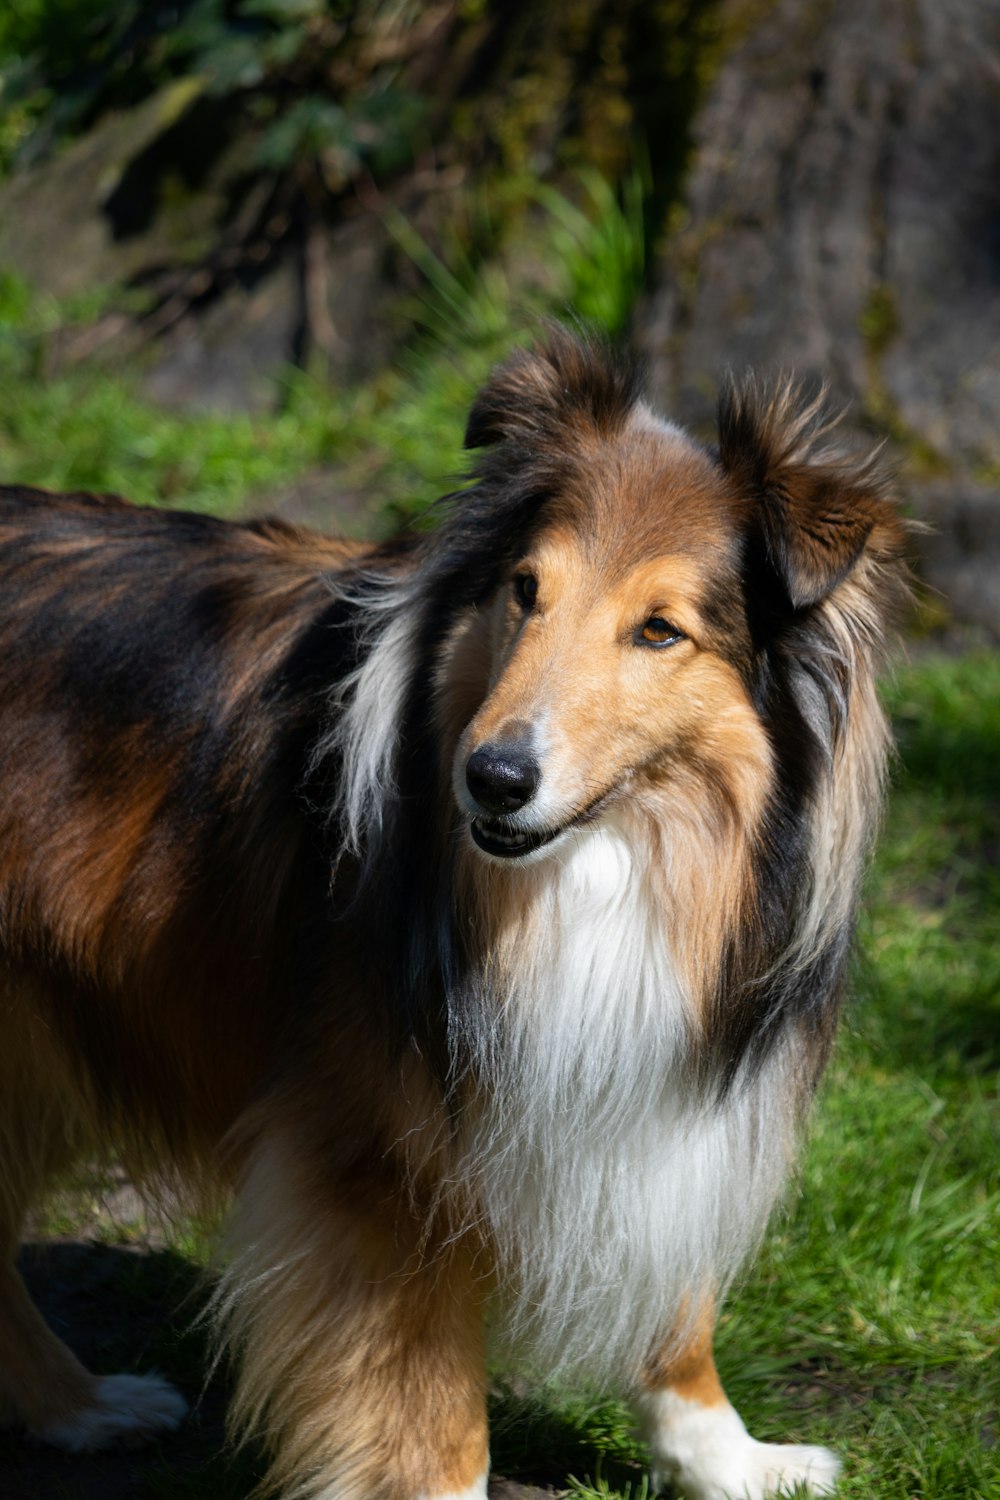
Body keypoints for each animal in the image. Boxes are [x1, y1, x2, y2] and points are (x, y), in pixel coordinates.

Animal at [0, 331, 905, 1500]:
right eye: (525, 590)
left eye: (660, 631)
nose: (493, 778)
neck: (607, 869)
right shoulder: (376, 1166)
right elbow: (432, 1421)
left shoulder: (653, 1088)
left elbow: (680, 1315)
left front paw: (730, 1458)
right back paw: (81, 1403)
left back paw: (79, 1409)